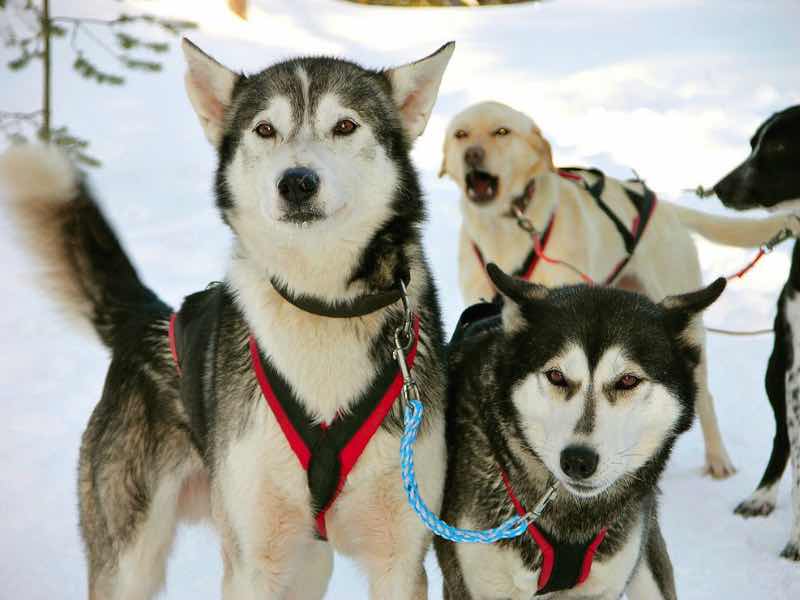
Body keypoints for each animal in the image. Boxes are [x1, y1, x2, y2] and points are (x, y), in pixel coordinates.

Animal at [1, 39, 456, 596]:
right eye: (265, 129)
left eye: (345, 125)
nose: (297, 182)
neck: (319, 304)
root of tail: (149, 321)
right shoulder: (253, 561)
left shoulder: (400, 559)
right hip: (130, 559)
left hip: (308, 562)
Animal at [440, 101, 800, 480]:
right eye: (461, 134)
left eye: (501, 132)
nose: (472, 153)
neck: (508, 228)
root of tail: (664, 207)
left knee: (705, 398)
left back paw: (718, 458)